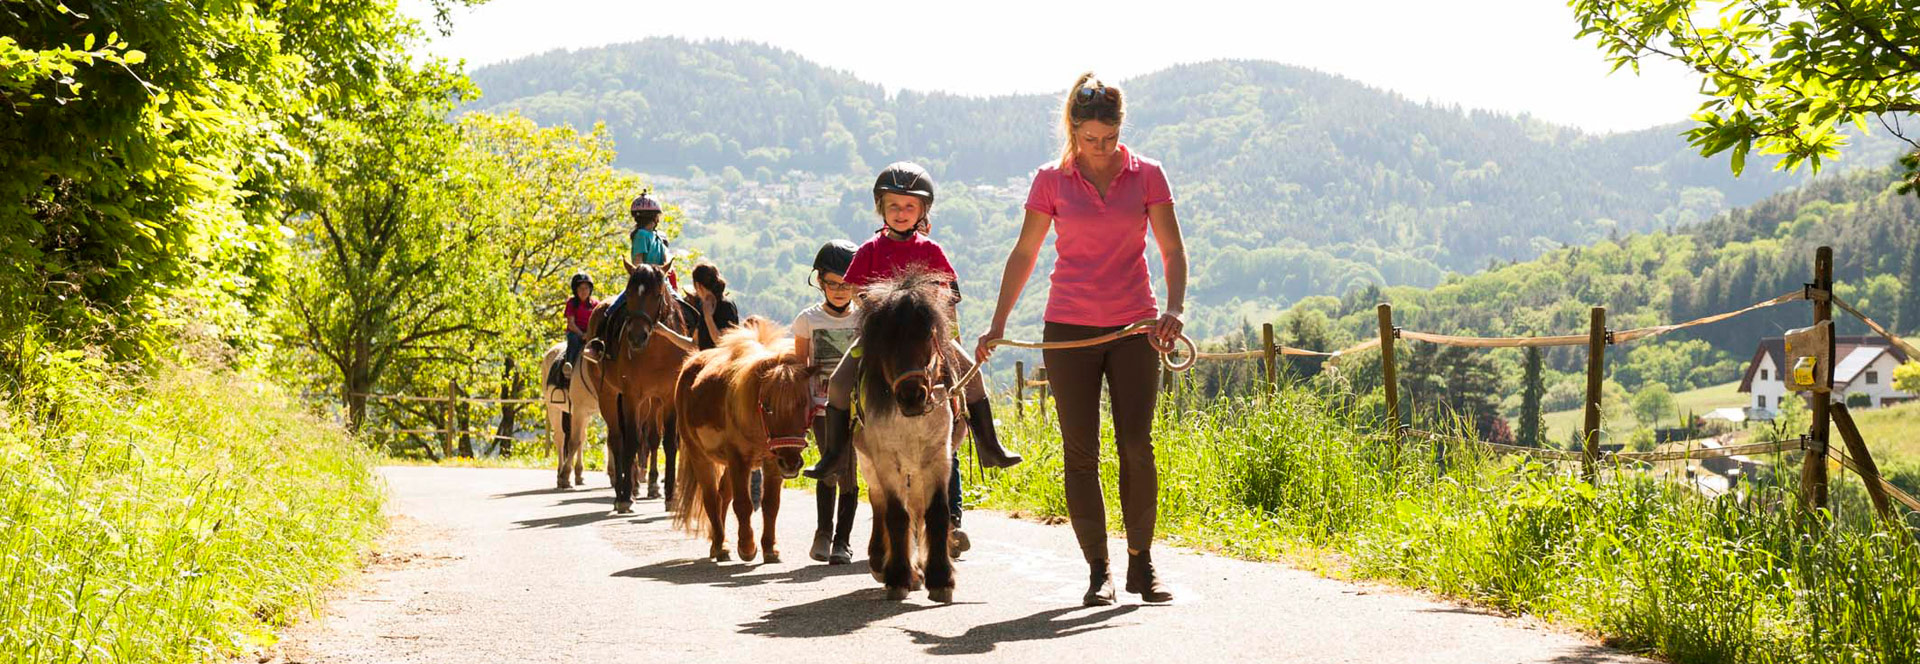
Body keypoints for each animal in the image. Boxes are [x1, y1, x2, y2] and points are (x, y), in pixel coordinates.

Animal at [591, 260, 706, 514]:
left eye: (657, 294)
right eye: (630, 293)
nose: (636, 336)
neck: (656, 350)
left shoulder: (667, 398)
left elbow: (669, 443)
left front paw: (670, 495)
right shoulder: (632, 397)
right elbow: (633, 441)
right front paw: (626, 496)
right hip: (609, 395)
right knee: (618, 440)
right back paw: (621, 493)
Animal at [672, 318, 814, 564]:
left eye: (803, 402)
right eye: (767, 406)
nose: (791, 462)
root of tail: (690, 364)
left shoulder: (771, 462)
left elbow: (770, 504)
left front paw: (770, 548)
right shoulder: (739, 459)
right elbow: (743, 504)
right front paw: (747, 547)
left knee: (722, 496)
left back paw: (718, 543)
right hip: (700, 456)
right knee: (711, 498)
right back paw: (720, 545)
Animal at [852, 270, 960, 602]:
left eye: (927, 336)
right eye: (884, 341)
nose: (912, 396)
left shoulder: (938, 458)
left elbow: (936, 513)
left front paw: (940, 578)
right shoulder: (887, 461)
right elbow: (896, 515)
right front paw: (898, 577)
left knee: (917, 510)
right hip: (870, 464)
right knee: (880, 504)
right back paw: (883, 562)